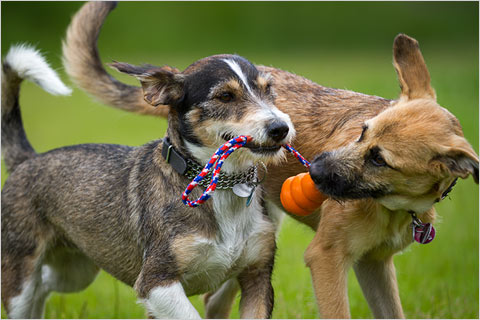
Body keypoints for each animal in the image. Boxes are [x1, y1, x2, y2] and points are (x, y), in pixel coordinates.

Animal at [0, 31, 296, 318]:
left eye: (269, 90)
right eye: (224, 96)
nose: (281, 128)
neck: (220, 186)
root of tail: (29, 159)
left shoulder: (257, 277)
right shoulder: (155, 282)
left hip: (75, 270)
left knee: (44, 285)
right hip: (21, 276)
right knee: (29, 292)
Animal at [62, 2, 478, 318]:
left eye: (380, 160)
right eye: (361, 132)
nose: (315, 169)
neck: (392, 205)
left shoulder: (374, 265)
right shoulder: (327, 258)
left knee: (216, 299)